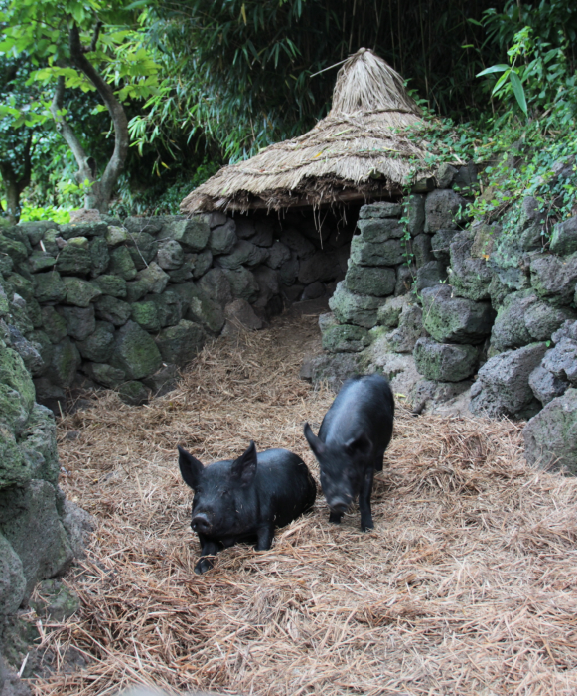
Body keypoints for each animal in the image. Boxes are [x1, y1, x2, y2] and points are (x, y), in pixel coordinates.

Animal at [178, 444, 318, 572]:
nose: (200, 518)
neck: (230, 535)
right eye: (198, 490)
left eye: (225, 491)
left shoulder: (267, 521)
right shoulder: (203, 533)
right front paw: (200, 570)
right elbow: (208, 548)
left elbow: (264, 543)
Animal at [304, 376, 394, 532]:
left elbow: (364, 497)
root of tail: (372, 375)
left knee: (380, 455)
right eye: (324, 473)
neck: (338, 440)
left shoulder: (368, 463)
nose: (338, 501)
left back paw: (380, 471)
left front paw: (368, 528)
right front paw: (334, 522)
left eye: (350, 470)